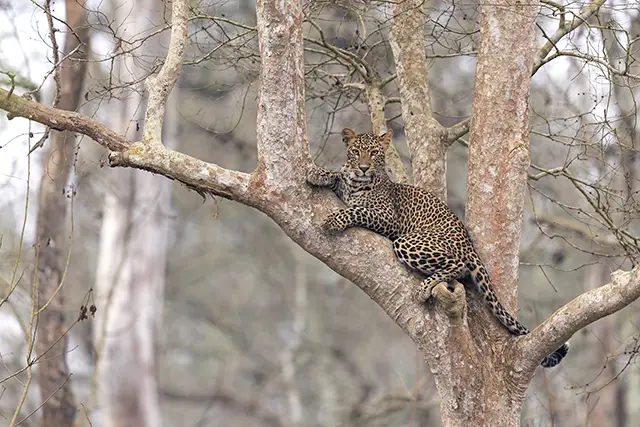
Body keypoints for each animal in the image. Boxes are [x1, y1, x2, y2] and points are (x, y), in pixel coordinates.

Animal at [307, 128, 569, 368]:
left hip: (411, 242)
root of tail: (467, 242)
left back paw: (425, 287)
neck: (357, 184)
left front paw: (334, 220)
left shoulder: (387, 218)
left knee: (459, 267)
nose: (363, 167)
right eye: (355, 152)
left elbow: (358, 210)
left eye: (374, 153)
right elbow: (338, 176)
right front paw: (318, 173)